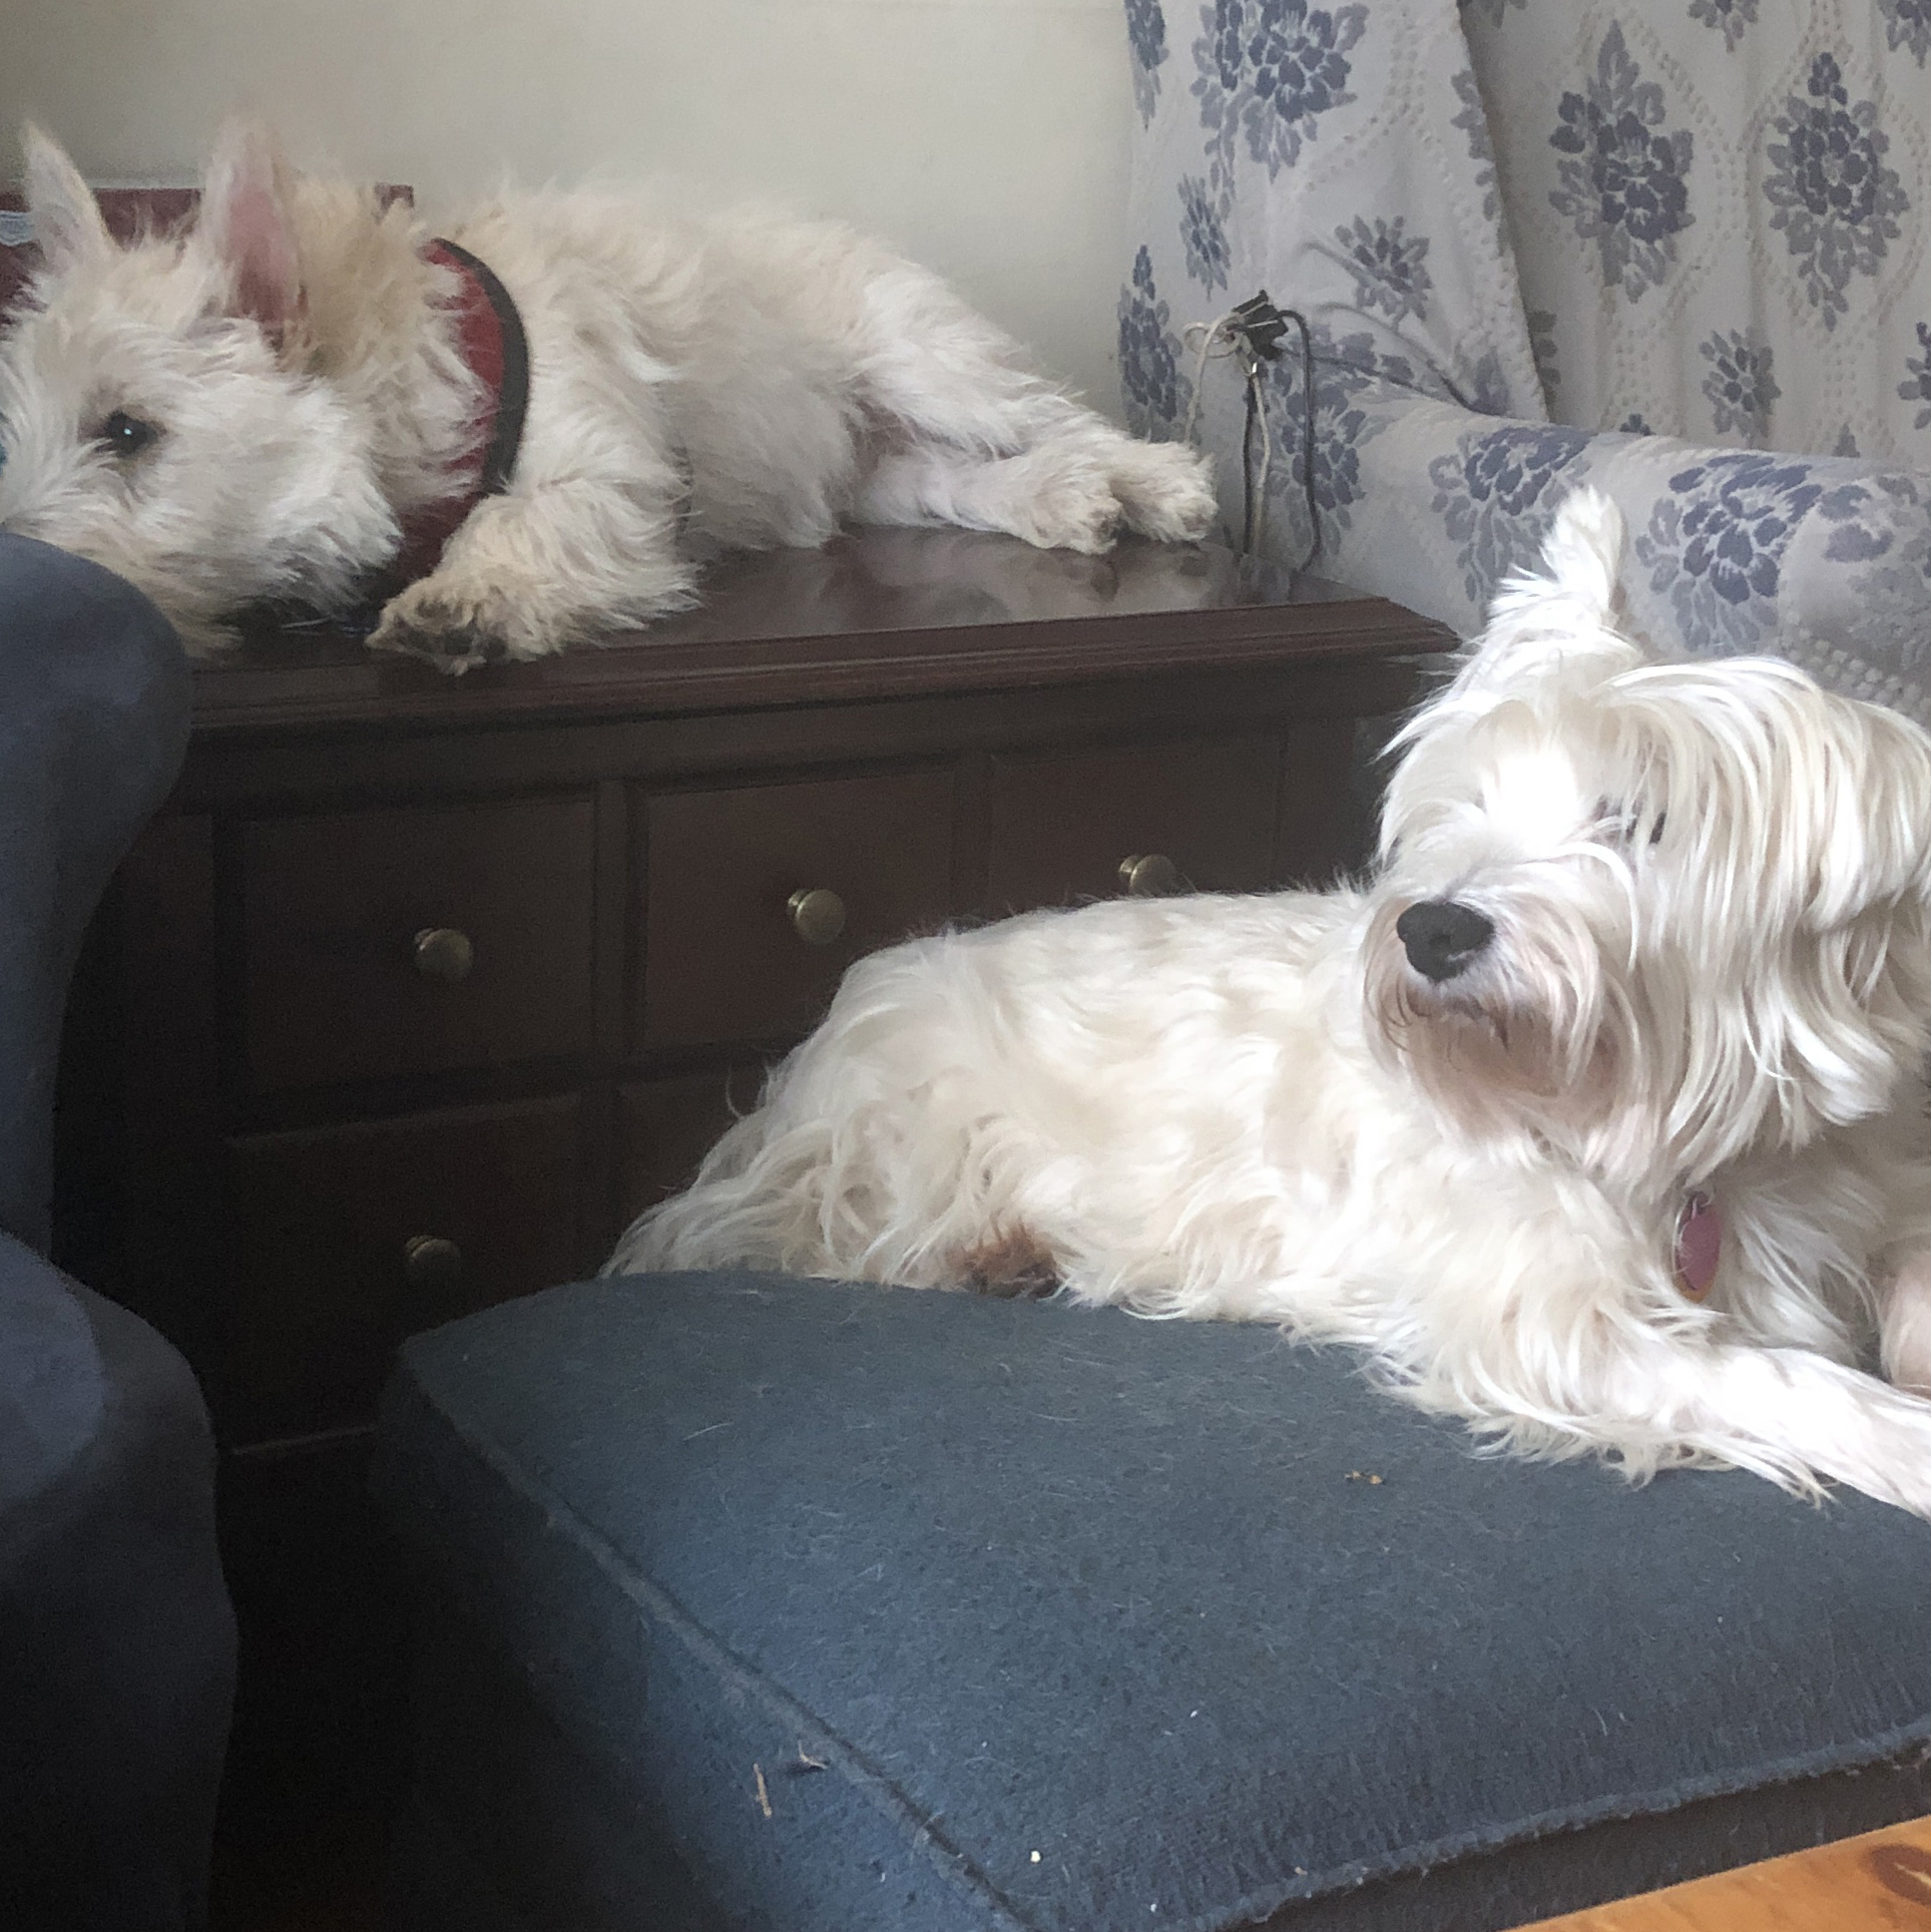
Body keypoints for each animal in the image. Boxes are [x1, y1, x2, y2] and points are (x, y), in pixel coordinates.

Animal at [0, 120, 1215, 670]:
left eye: (127, 430)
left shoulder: (611, 478)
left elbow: (515, 522)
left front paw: (464, 602)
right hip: (885, 474)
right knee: (973, 483)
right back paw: (1066, 502)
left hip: (927, 356)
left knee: (1064, 417)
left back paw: (1159, 487)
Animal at [609, 488, 1931, 1520]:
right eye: (1465, 800)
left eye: (1641, 820)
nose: (1432, 929)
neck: (1701, 1150)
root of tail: (814, 1051)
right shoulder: (1555, 1322)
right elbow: (1770, 1374)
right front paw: (1904, 1439)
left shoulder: (1872, 1174)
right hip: (892, 1142)